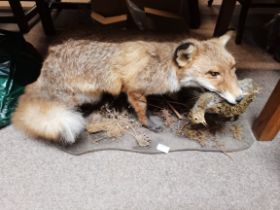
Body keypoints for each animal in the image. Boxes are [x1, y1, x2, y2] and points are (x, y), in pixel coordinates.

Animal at [12, 32, 243, 144]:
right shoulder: (134, 89)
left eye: (233, 68)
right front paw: (149, 124)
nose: (240, 98)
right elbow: (142, 111)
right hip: (82, 96)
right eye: (213, 74)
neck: (164, 67)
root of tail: (46, 62)